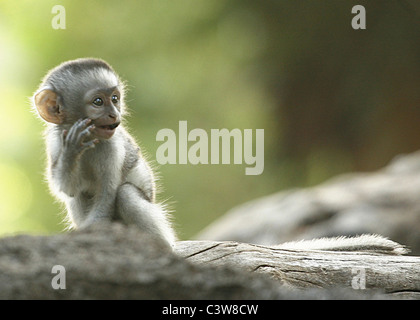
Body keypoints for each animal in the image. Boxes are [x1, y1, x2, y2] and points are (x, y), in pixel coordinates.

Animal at [33, 57, 176, 246]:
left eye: (115, 99)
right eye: (98, 102)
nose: (114, 114)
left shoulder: (111, 146)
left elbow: (106, 194)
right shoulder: (56, 143)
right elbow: (69, 189)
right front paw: (72, 150)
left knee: (126, 194)